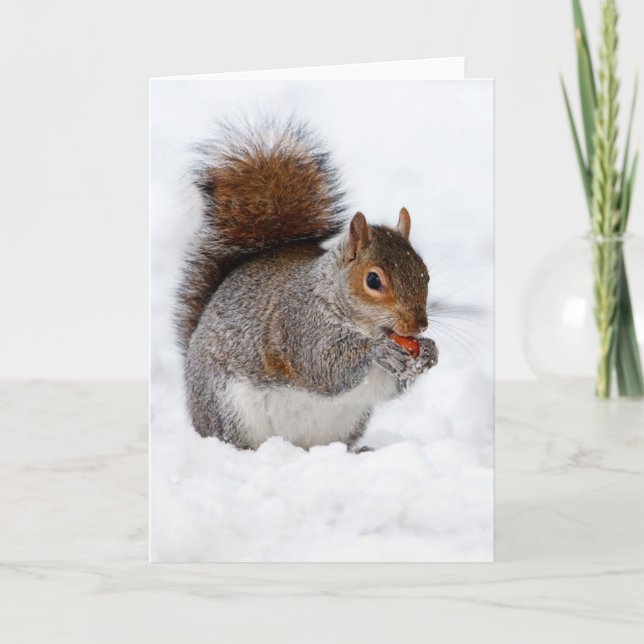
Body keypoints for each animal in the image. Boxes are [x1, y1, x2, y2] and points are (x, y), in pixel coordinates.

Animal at [176, 118, 438, 451]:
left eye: (426, 274)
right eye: (373, 280)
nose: (419, 325)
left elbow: (389, 386)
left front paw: (429, 351)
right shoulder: (301, 324)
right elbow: (324, 365)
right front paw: (378, 351)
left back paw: (358, 452)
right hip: (227, 408)